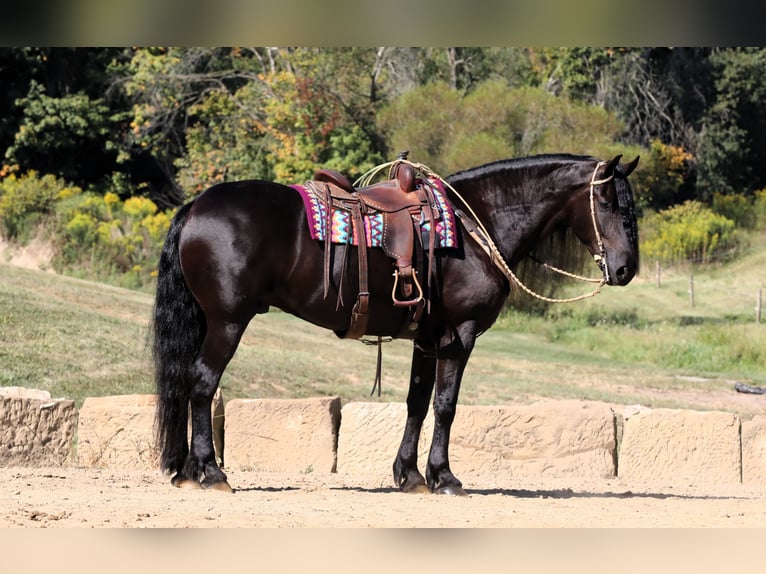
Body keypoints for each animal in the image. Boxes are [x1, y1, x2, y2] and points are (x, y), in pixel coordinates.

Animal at [152, 153, 640, 496]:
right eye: (608, 201)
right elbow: (446, 405)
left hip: (210, 320)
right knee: (202, 383)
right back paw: (210, 471)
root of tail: (196, 206)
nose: (625, 269)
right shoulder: (459, 336)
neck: (475, 224)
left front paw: (409, 475)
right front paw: (444, 477)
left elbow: (417, 403)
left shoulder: (427, 339)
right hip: (228, 321)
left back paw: (189, 470)